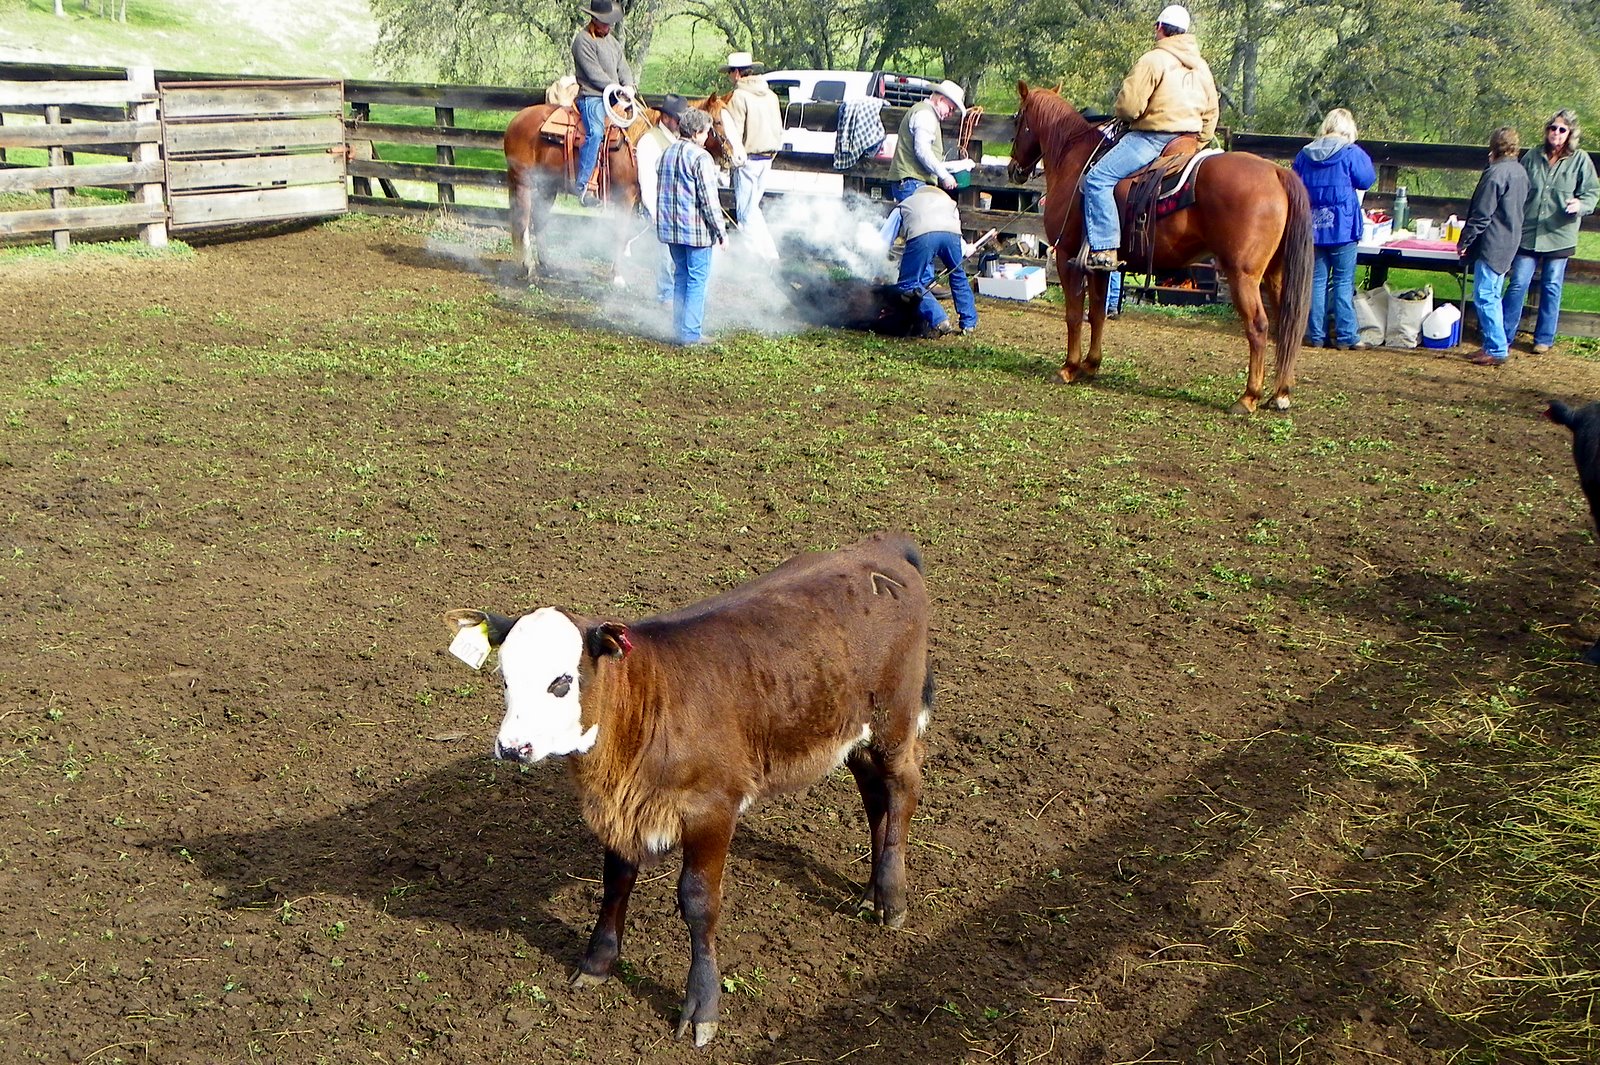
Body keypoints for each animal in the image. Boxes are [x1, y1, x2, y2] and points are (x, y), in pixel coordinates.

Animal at [503, 93, 731, 283]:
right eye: (718, 122)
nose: (735, 157)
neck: (639, 140)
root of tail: (516, 119)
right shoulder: (625, 197)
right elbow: (621, 233)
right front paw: (618, 277)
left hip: (547, 186)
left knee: (539, 219)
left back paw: (546, 264)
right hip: (523, 182)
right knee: (523, 221)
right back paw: (529, 268)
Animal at [1007, 82, 1314, 414]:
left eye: (1017, 119)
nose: (1013, 169)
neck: (1074, 160)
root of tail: (1276, 172)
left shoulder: (1067, 257)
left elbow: (1075, 315)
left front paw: (1069, 368)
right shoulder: (1099, 266)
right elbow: (1097, 313)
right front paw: (1091, 365)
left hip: (1243, 275)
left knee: (1258, 326)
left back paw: (1248, 397)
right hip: (1275, 274)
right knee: (1286, 325)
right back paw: (1280, 393)